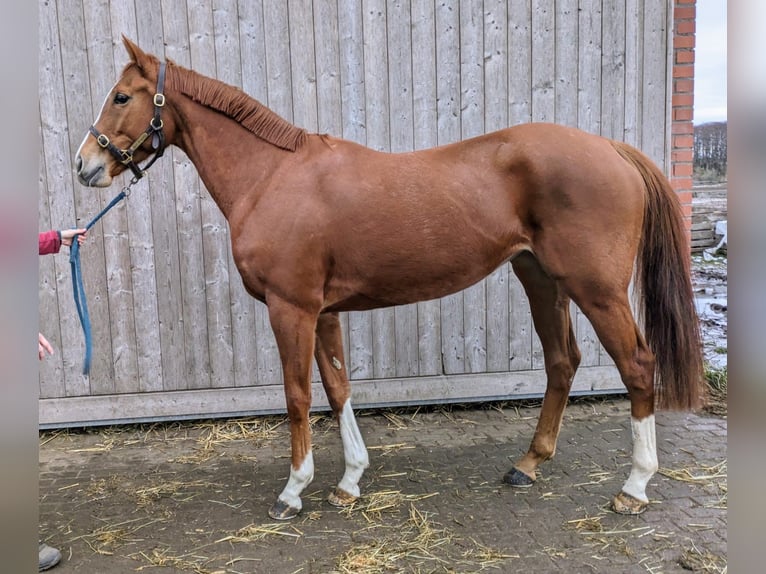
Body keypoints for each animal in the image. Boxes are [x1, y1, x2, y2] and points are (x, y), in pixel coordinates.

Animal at [75, 36, 704, 520]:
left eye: (122, 96)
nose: (85, 165)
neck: (273, 176)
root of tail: (612, 149)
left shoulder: (290, 307)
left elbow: (298, 396)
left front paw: (292, 492)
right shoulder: (324, 310)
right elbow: (338, 389)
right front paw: (349, 482)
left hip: (597, 289)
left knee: (637, 365)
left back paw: (634, 488)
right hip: (542, 280)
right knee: (561, 362)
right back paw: (528, 465)